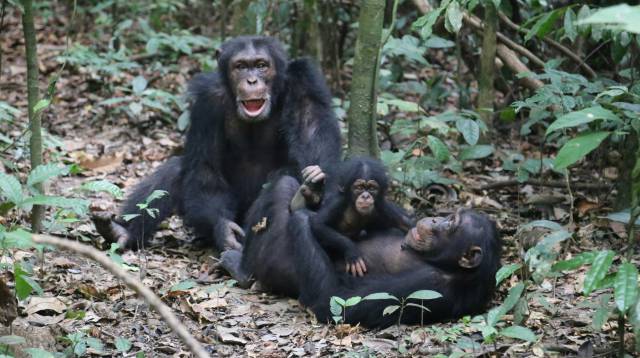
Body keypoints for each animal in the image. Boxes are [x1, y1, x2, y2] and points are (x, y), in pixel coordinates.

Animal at [94, 35, 340, 250]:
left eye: (261, 65)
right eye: (240, 66)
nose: (252, 80)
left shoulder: (303, 82)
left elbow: (313, 136)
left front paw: (314, 190)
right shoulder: (207, 101)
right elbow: (206, 168)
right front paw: (224, 230)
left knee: (282, 174)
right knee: (175, 170)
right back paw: (121, 232)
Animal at [222, 176, 502, 328]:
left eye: (451, 224)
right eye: (450, 217)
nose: (435, 219)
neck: (443, 263)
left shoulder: (429, 286)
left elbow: (332, 300)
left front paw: (305, 217)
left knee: (281, 188)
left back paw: (240, 266)